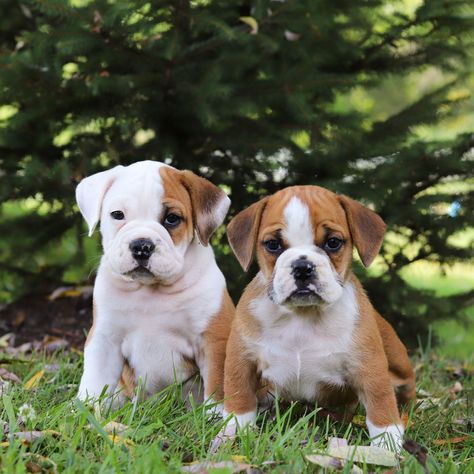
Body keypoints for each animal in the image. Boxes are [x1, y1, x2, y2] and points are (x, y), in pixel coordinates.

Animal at [74, 159, 235, 408]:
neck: (150, 291)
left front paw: (219, 416)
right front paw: (86, 411)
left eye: (172, 219)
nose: (141, 246)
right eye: (117, 214)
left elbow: (218, 389)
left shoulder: (212, 341)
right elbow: (95, 382)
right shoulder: (105, 340)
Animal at [222, 184, 414, 448]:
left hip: (399, 363)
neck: (303, 315)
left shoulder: (370, 368)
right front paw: (232, 432)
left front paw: (388, 445)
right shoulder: (241, 360)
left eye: (333, 242)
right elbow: (238, 397)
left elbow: (381, 406)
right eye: (272, 245)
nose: (302, 267)